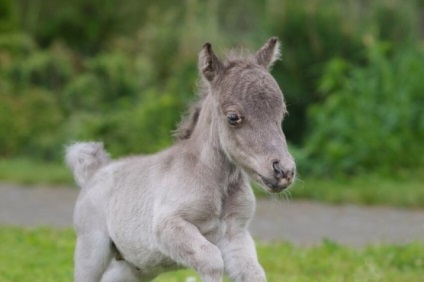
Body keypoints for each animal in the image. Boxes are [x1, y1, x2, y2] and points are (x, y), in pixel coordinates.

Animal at [66, 37, 296, 282]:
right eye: (233, 117)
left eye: (282, 114)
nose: (284, 171)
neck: (217, 183)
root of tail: (94, 171)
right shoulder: (168, 226)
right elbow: (212, 260)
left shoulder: (236, 234)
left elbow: (253, 271)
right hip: (92, 249)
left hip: (135, 267)